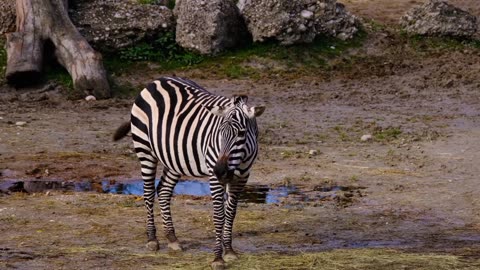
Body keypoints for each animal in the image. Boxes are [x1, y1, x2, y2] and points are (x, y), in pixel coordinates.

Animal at [114, 76, 266, 270]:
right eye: (219, 132)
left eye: (242, 133)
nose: (220, 170)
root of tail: (157, 80)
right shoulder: (214, 175)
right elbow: (219, 215)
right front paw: (218, 258)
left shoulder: (242, 177)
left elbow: (230, 213)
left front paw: (229, 251)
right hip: (145, 149)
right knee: (148, 192)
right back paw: (152, 239)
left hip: (174, 158)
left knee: (163, 190)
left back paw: (172, 238)